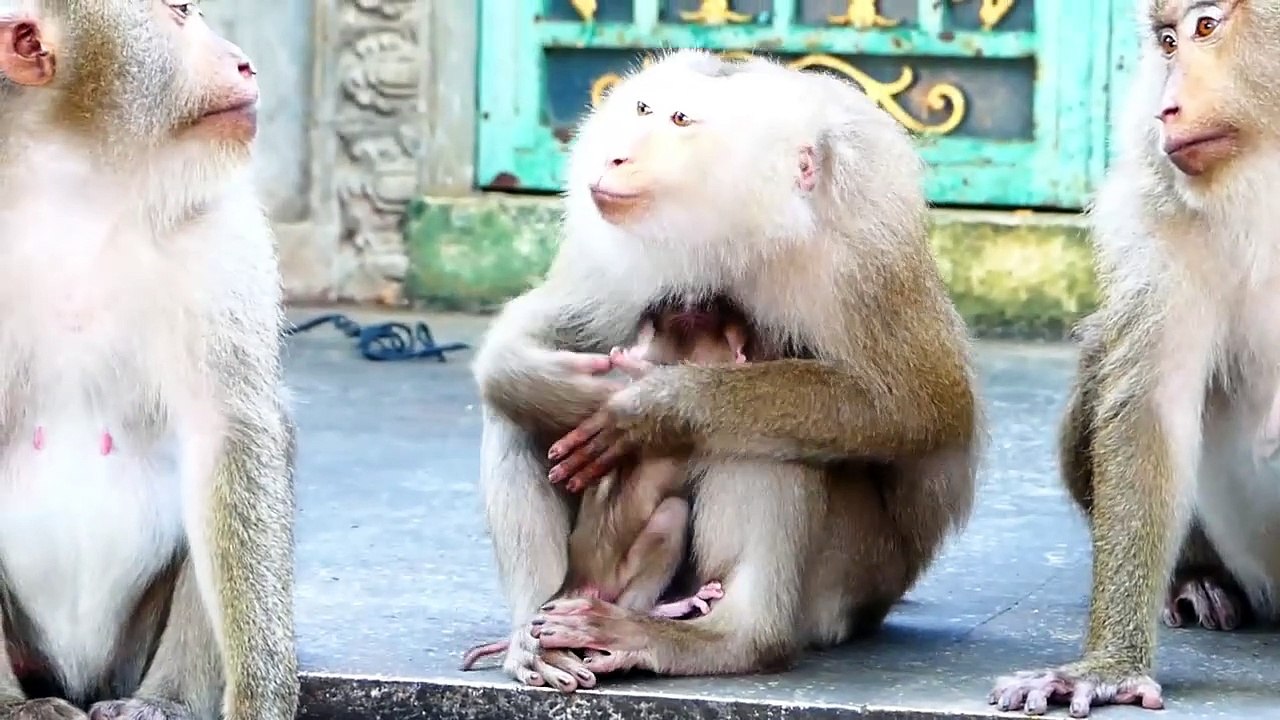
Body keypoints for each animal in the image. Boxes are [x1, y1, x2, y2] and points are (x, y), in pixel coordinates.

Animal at [0, 3, 297, 720]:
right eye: (179, 13)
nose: (244, 61)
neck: (74, 186)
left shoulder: (220, 226)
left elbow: (230, 433)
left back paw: (166, 702)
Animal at [990, 1, 1280, 716]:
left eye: (1208, 27)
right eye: (1168, 42)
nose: (1164, 108)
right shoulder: (1156, 210)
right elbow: (1152, 410)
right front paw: (1108, 667)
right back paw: (1198, 579)